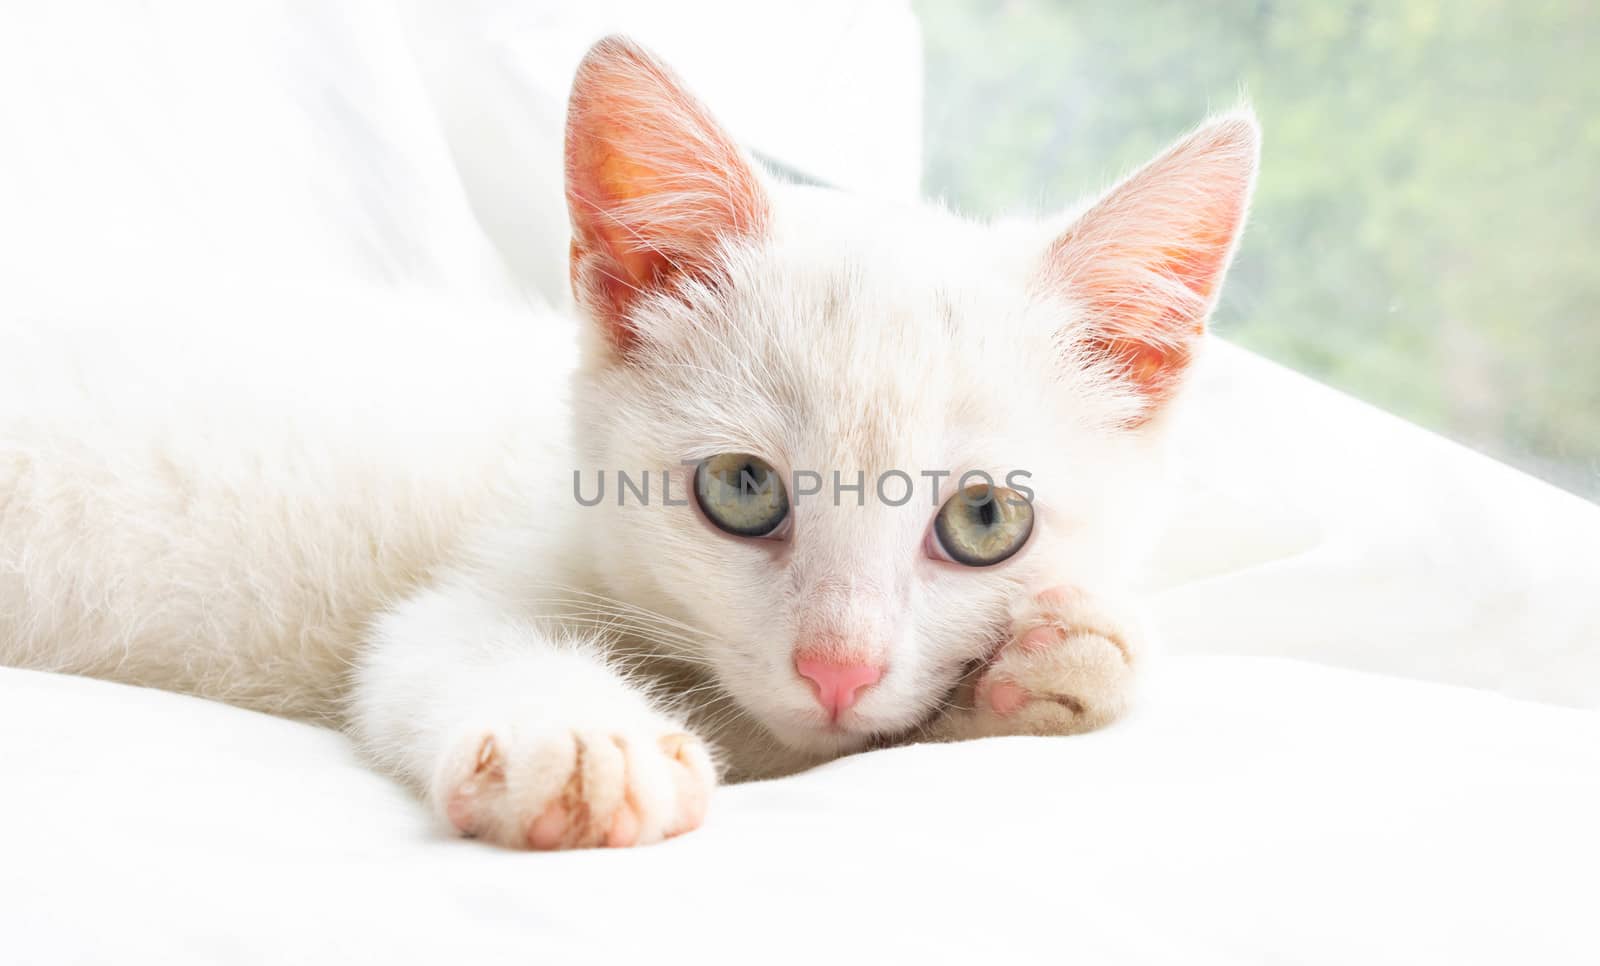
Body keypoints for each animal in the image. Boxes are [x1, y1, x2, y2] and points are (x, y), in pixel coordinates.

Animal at [0, 39, 1248, 850]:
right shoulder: (476, 583)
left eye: (985, 519)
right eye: (741, 490)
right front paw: (581, 734)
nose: (835, 668)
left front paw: (1051, 664)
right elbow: (432, 644)